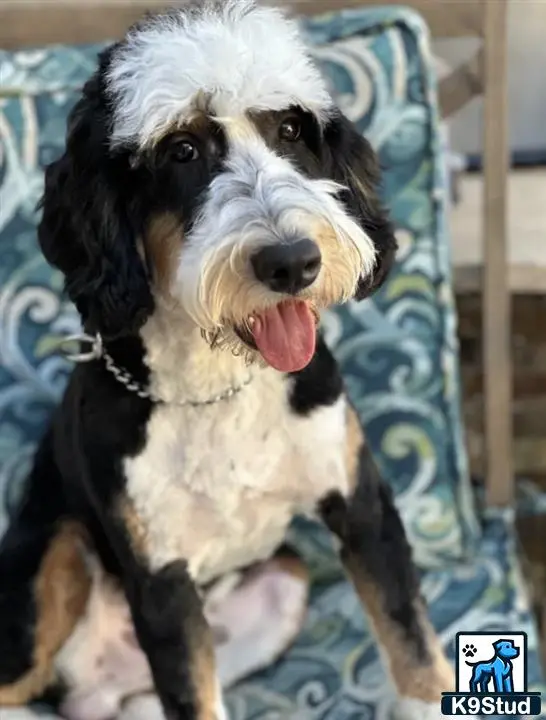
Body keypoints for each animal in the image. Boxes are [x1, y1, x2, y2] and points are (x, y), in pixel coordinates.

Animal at [0, 2, 450, 716]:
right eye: (181, 150)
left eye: (291, 129)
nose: (291, 262)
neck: (217, 384)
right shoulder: (161, 582)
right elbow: (194, 692)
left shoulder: (363, 505)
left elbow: (411, 643)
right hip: (57, 552)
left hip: (283, 580)